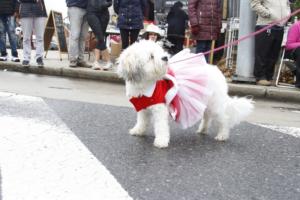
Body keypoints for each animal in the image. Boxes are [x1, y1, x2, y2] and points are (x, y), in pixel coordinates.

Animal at [117, 39, 253, 148]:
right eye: (151, 56)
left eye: (160, 51)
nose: (165, 57)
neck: (145, 85)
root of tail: (219, 71)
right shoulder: (142, 107)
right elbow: (142, 121)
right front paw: (138, 131)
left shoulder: (159, 108)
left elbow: (161, 126)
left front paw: (161, 142)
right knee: (207, 117)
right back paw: (203, 130)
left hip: (215, 104)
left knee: (224, 119)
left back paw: (222, 135)